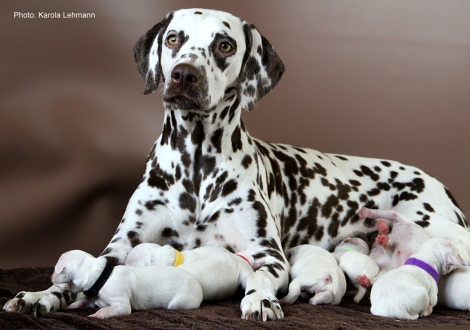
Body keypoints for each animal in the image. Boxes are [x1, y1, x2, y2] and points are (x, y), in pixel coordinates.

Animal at [50, 251, 204, 318]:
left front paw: (96, 315)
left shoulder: (120, 304)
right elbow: (84, 301)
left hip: (180, 302)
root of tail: (199, 286)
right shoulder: (94, 299)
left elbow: (107, 310)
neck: (102, 276)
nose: (51, 275)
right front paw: (72, 306)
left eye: (56, 269)